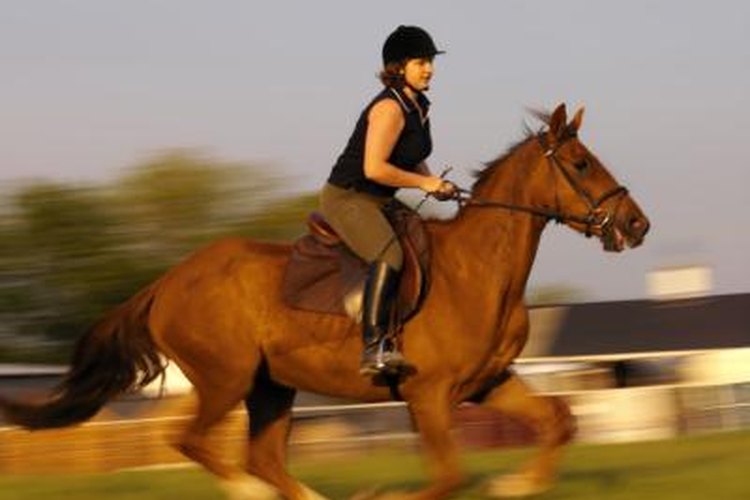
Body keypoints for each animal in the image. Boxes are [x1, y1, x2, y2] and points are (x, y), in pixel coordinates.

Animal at [0, 103, 652, 498]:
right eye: (580, 163)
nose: (637, 224)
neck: (479, 271)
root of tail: (166, 282)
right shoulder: (429, 395)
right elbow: (446, 476)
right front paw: (387, 492)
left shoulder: (487, 383)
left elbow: (559, 421)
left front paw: (514, 485)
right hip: (227, 377)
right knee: (193, 442)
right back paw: (251, 491)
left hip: (270, 387)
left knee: (262, 457)